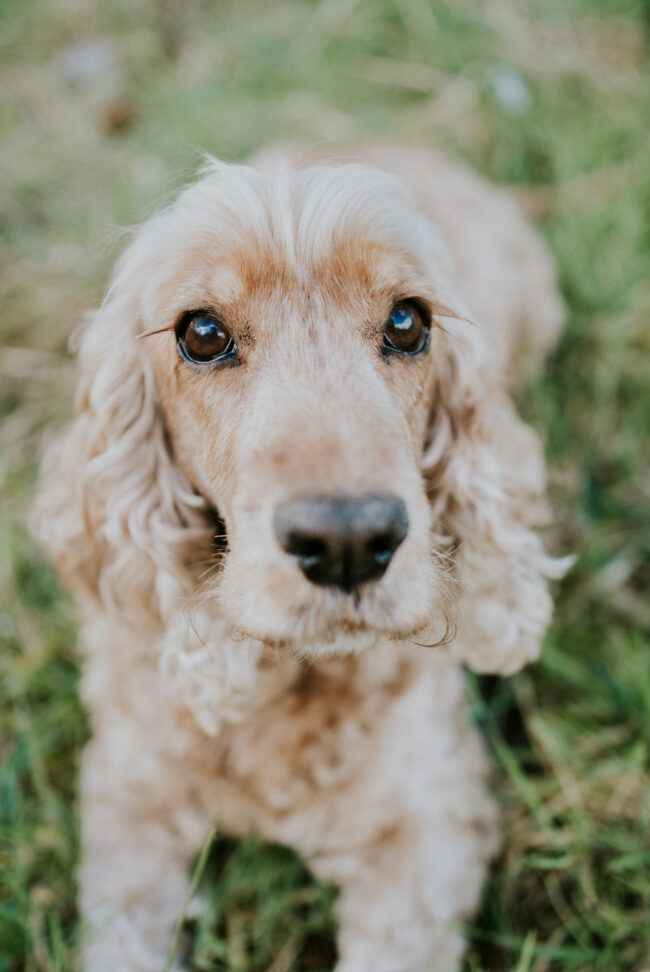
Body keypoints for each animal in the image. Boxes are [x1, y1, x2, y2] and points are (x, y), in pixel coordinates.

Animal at [33, 140, 564, 968]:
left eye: (408, 322)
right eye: (202, 333)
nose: (349, 543)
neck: (289, 677)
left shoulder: (429, 826)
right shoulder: (128, 796)